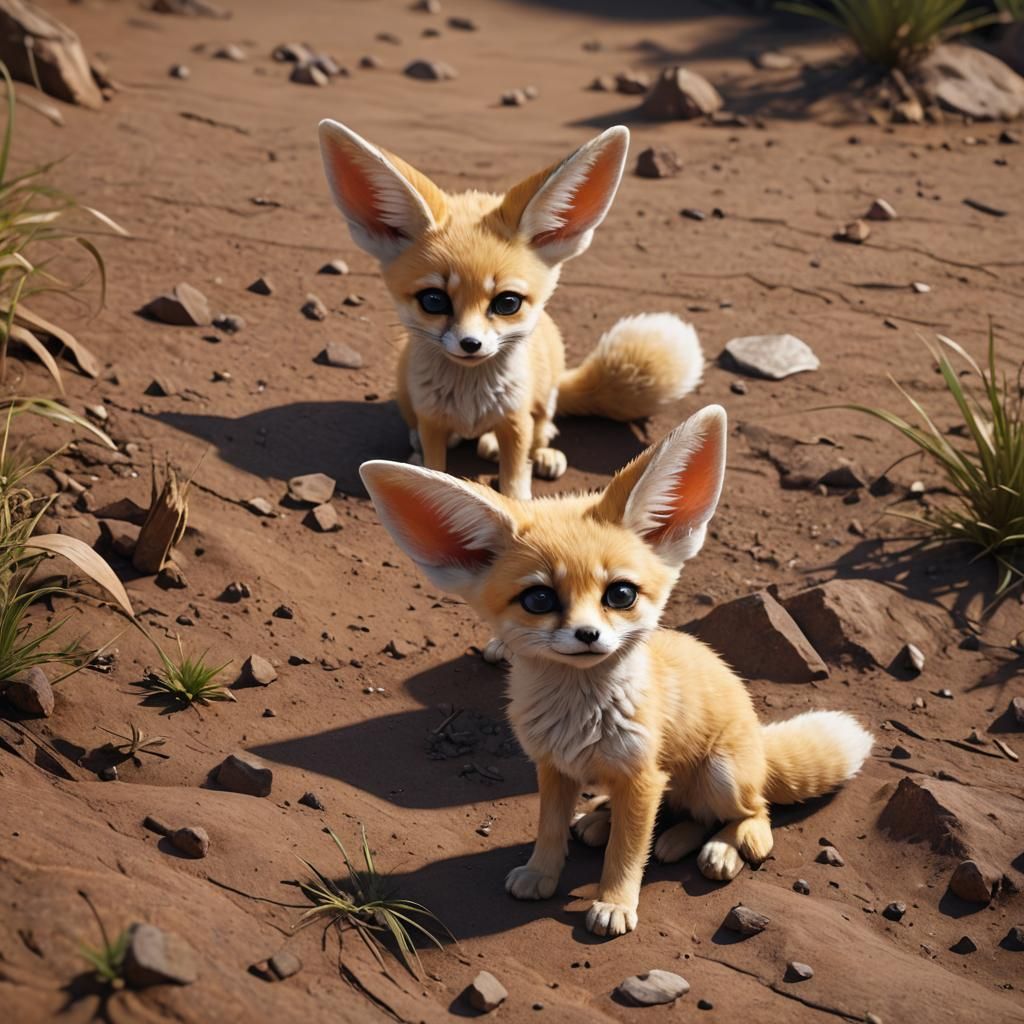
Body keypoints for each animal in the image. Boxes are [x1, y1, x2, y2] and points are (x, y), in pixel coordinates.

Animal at [318, 119, 703, 500]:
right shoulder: (431, 420)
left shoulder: (516, 420)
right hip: (405, 395)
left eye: (507, 303)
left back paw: (538, 453)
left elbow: (516, 480)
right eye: (434, 300)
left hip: (545, 397)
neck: (470, 402)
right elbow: (435, 466)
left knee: (544, 429)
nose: (470, 344)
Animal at [358, 405, 875, 937]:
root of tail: (758, 742)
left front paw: (615, 904)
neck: (580, 720)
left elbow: (626, 853)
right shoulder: (554, 768)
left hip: (722, 775)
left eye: (620, 594)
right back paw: (618, 824)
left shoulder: (643, 777)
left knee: (756, 815)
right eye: (539, 599)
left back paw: (724, 848)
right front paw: (541, 874)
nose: (588, 635)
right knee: (680, 815)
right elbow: (550, 831)